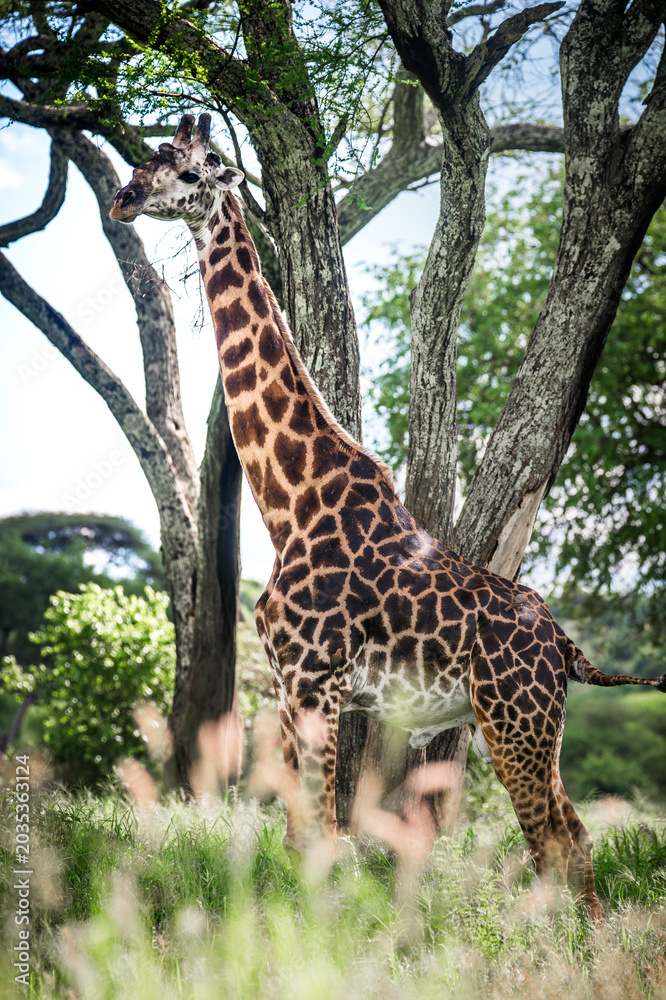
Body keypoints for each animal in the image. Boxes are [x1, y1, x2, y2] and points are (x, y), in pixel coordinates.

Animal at [111, 113, 666, 918]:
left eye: (192, 169)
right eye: (143, 159)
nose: (121, 200)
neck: (290, 501)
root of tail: (564, 646)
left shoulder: (317, 678)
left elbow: (324, 840)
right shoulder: (290, 684)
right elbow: (303, 837)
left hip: (514, 722)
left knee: (554, 843)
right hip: (534, 727)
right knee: (578, 838)